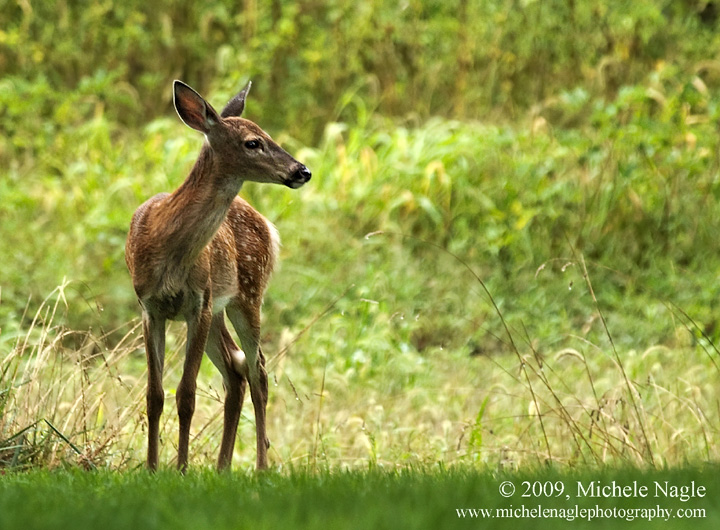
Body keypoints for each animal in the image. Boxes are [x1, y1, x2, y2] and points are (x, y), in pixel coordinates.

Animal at [125, 79, 311, 472]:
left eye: (266, 134)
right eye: (253, 142)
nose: (302, 171)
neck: (167, 246)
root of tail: (267, 225)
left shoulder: (199, 302)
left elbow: (186, 394)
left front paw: (180, 469)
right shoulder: (150, 307)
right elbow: (154, 395)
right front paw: (152, 468)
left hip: (248, 294)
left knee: (257, 369)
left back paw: (260, 466)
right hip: (221, 309)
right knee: (235, 368)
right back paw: (223, 466)